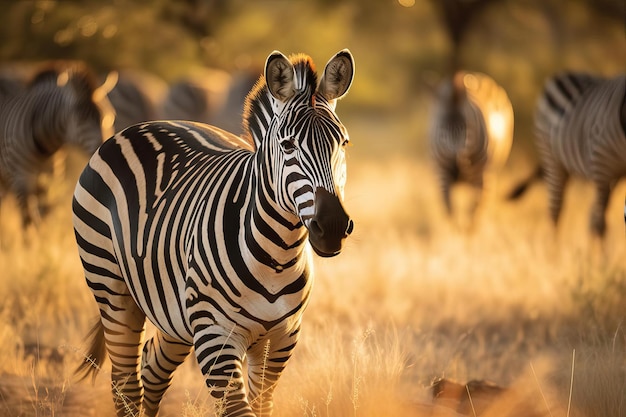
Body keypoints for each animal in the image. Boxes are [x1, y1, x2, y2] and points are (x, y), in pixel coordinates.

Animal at [0, 62, 116, 228]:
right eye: (81, 118)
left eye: (109, 116)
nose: (107, 155)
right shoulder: (21, 178)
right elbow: (28, 220)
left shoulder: (50, 179)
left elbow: (44, 217)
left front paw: (44, 235)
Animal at [72, 49, 354, 416]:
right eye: (288, 145)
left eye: (344, 143)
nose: (332, 226)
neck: (278, 254)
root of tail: (139, 126)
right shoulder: (215, 336)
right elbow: (238, 409)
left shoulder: (282, 338)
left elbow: (262, 405)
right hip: (111, 286)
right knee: (125, 383)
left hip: (173, 312)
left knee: (151, 367)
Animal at [428, 70, 512, 226]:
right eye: (441, 131)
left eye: (467, 129)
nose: (456, 172)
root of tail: (475, 74)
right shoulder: (442, 172)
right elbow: (450, 211)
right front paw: (454, 231)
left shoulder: (482, 176)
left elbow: (474, 212)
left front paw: (468, 231)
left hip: (491, 170)